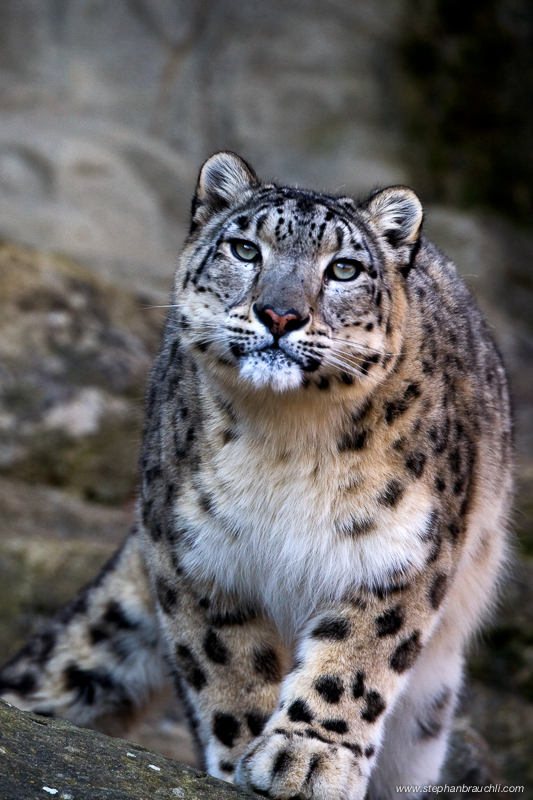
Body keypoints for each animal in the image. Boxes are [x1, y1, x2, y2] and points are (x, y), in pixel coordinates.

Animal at [0, 152, 512, 800]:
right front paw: (247, 752)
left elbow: (356, 658)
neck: (286, 442)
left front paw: (310, 755)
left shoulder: (398, 550)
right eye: (245, 250)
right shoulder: (194, 555)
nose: (280, 313)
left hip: (427, 710)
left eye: (344, 268)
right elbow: (230, 664)